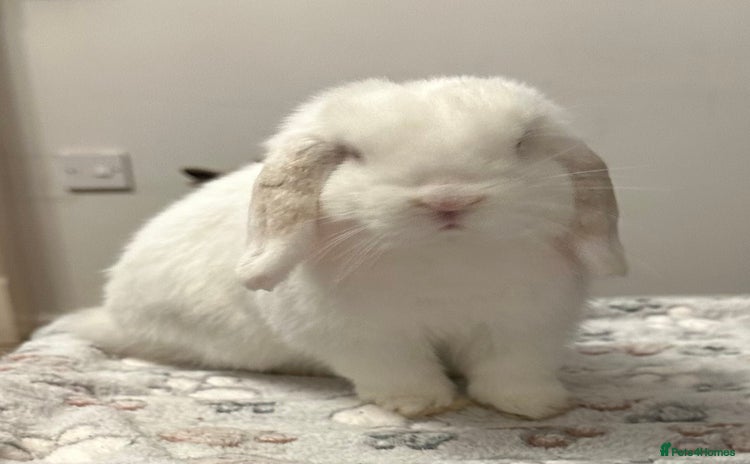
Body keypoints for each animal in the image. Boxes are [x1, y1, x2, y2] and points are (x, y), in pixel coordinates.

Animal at [63, 76, 626, 419]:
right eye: (353, 155)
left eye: (521, 144)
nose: (448, 198)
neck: (443, 258)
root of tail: (114, 314)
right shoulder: (367, 339)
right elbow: (399, 371)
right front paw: (419, 405)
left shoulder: (524, 329)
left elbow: (511, 370)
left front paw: (536, 406)